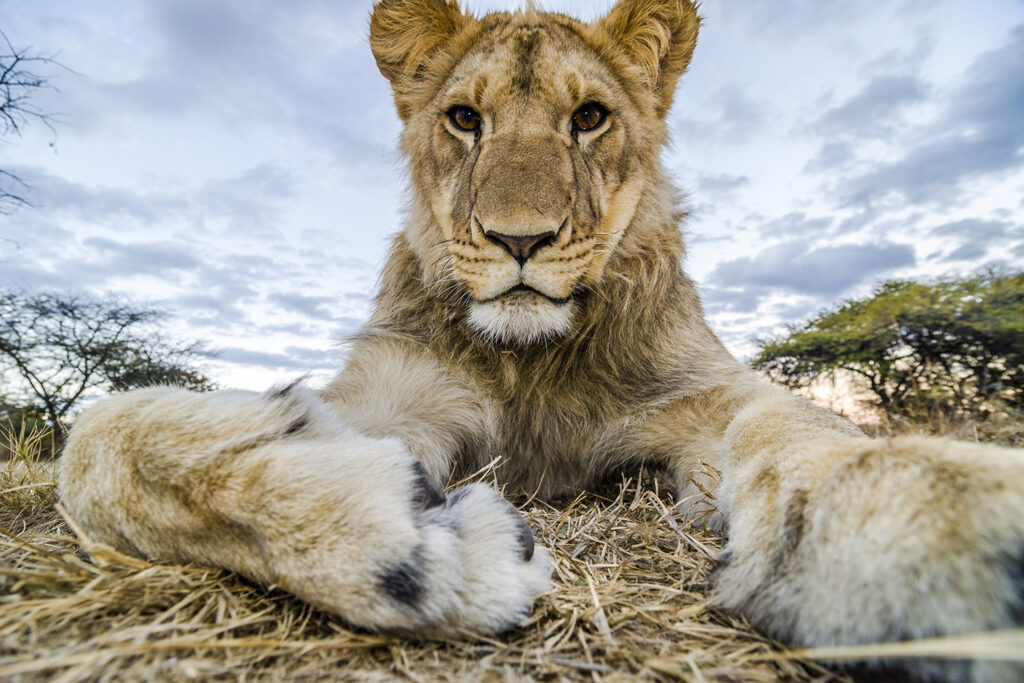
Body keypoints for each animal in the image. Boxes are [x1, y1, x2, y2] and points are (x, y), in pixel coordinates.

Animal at [58, 2, 1024, 679]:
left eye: (589, 117)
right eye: (464, 119)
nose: (519, 239)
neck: (531, 358)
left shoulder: (706, 392)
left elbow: (801, 427)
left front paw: (926, 526)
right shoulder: (393, 391)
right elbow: (100, 441)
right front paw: (413, 539)